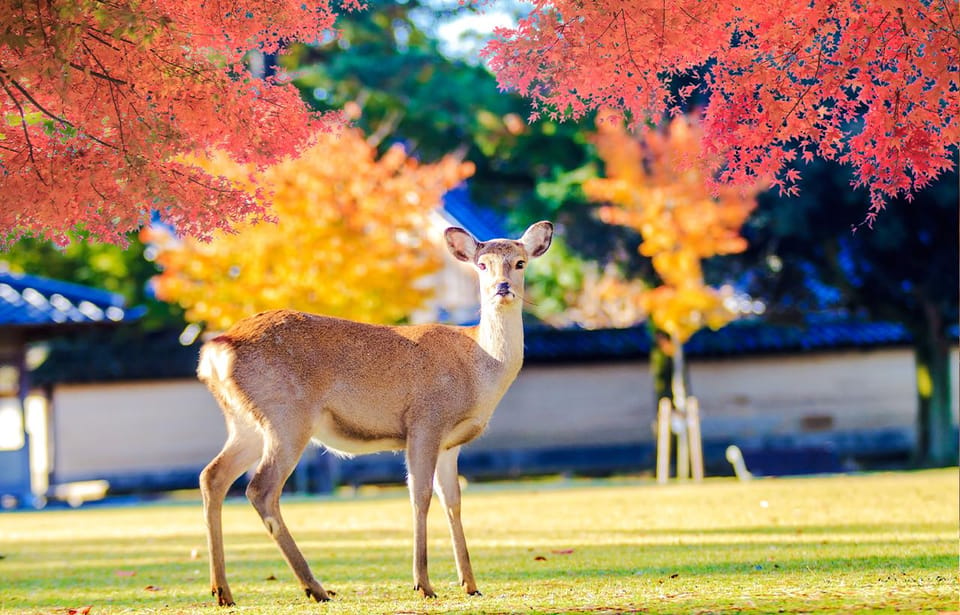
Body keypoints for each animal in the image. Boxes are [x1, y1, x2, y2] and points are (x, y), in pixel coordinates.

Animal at [196, 219, 556, 604]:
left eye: (520, 263)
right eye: (482, 264)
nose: (503, 288)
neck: (479, 370)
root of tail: (216, 352)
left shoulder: (451, 443)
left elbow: (453, 500)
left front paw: (470, 584)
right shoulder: (425, 420)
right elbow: (420, 495)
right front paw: (423, 584)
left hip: (246, 423)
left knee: (212, 476)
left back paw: (223, 591)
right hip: (287, 416)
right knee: (260, 489)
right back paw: (315, 588)